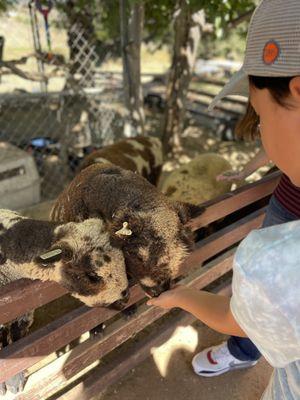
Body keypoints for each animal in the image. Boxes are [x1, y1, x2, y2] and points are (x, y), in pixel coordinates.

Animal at [0, 211, 127, 396]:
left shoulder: (23, 312)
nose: (126, 298)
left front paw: (15, 381)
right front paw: (9, 384)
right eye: (92, 276)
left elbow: (18, 345)